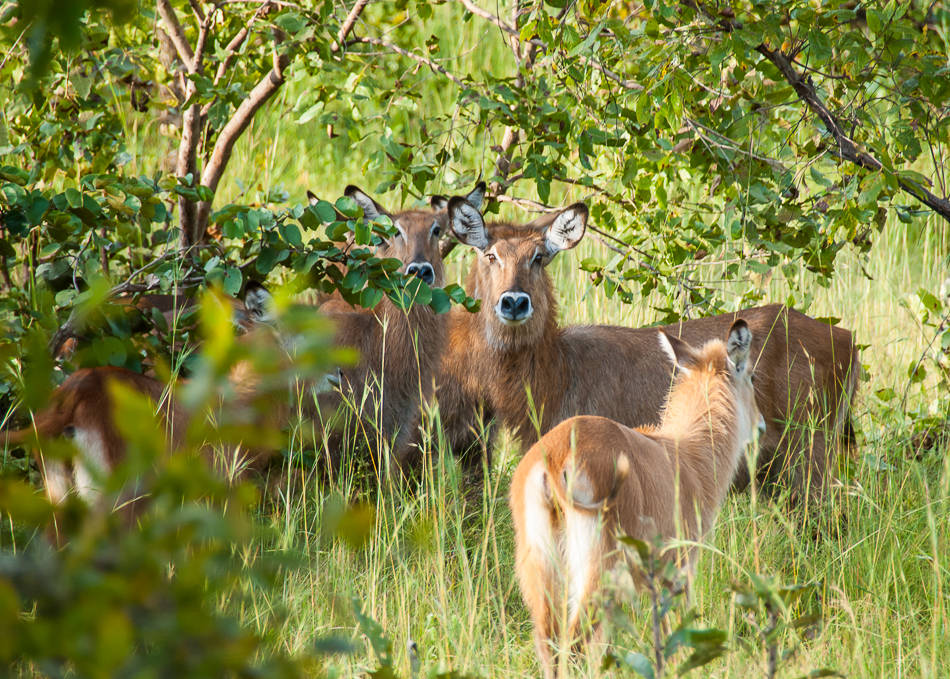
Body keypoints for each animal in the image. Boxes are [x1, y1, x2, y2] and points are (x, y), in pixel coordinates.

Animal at [442, 199, 860, 502]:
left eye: (539, 257)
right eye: (490, 255)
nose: (514, 302)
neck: (559, 375)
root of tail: (848, 341)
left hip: (809, 457)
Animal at [512, 320, 768, 679]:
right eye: (752, 376)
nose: (761, 425)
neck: (688, 457)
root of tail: (555, 455)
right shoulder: (678, 571)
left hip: (542, 572)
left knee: (549, 642)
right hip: (596, 573)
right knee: (572, 643)